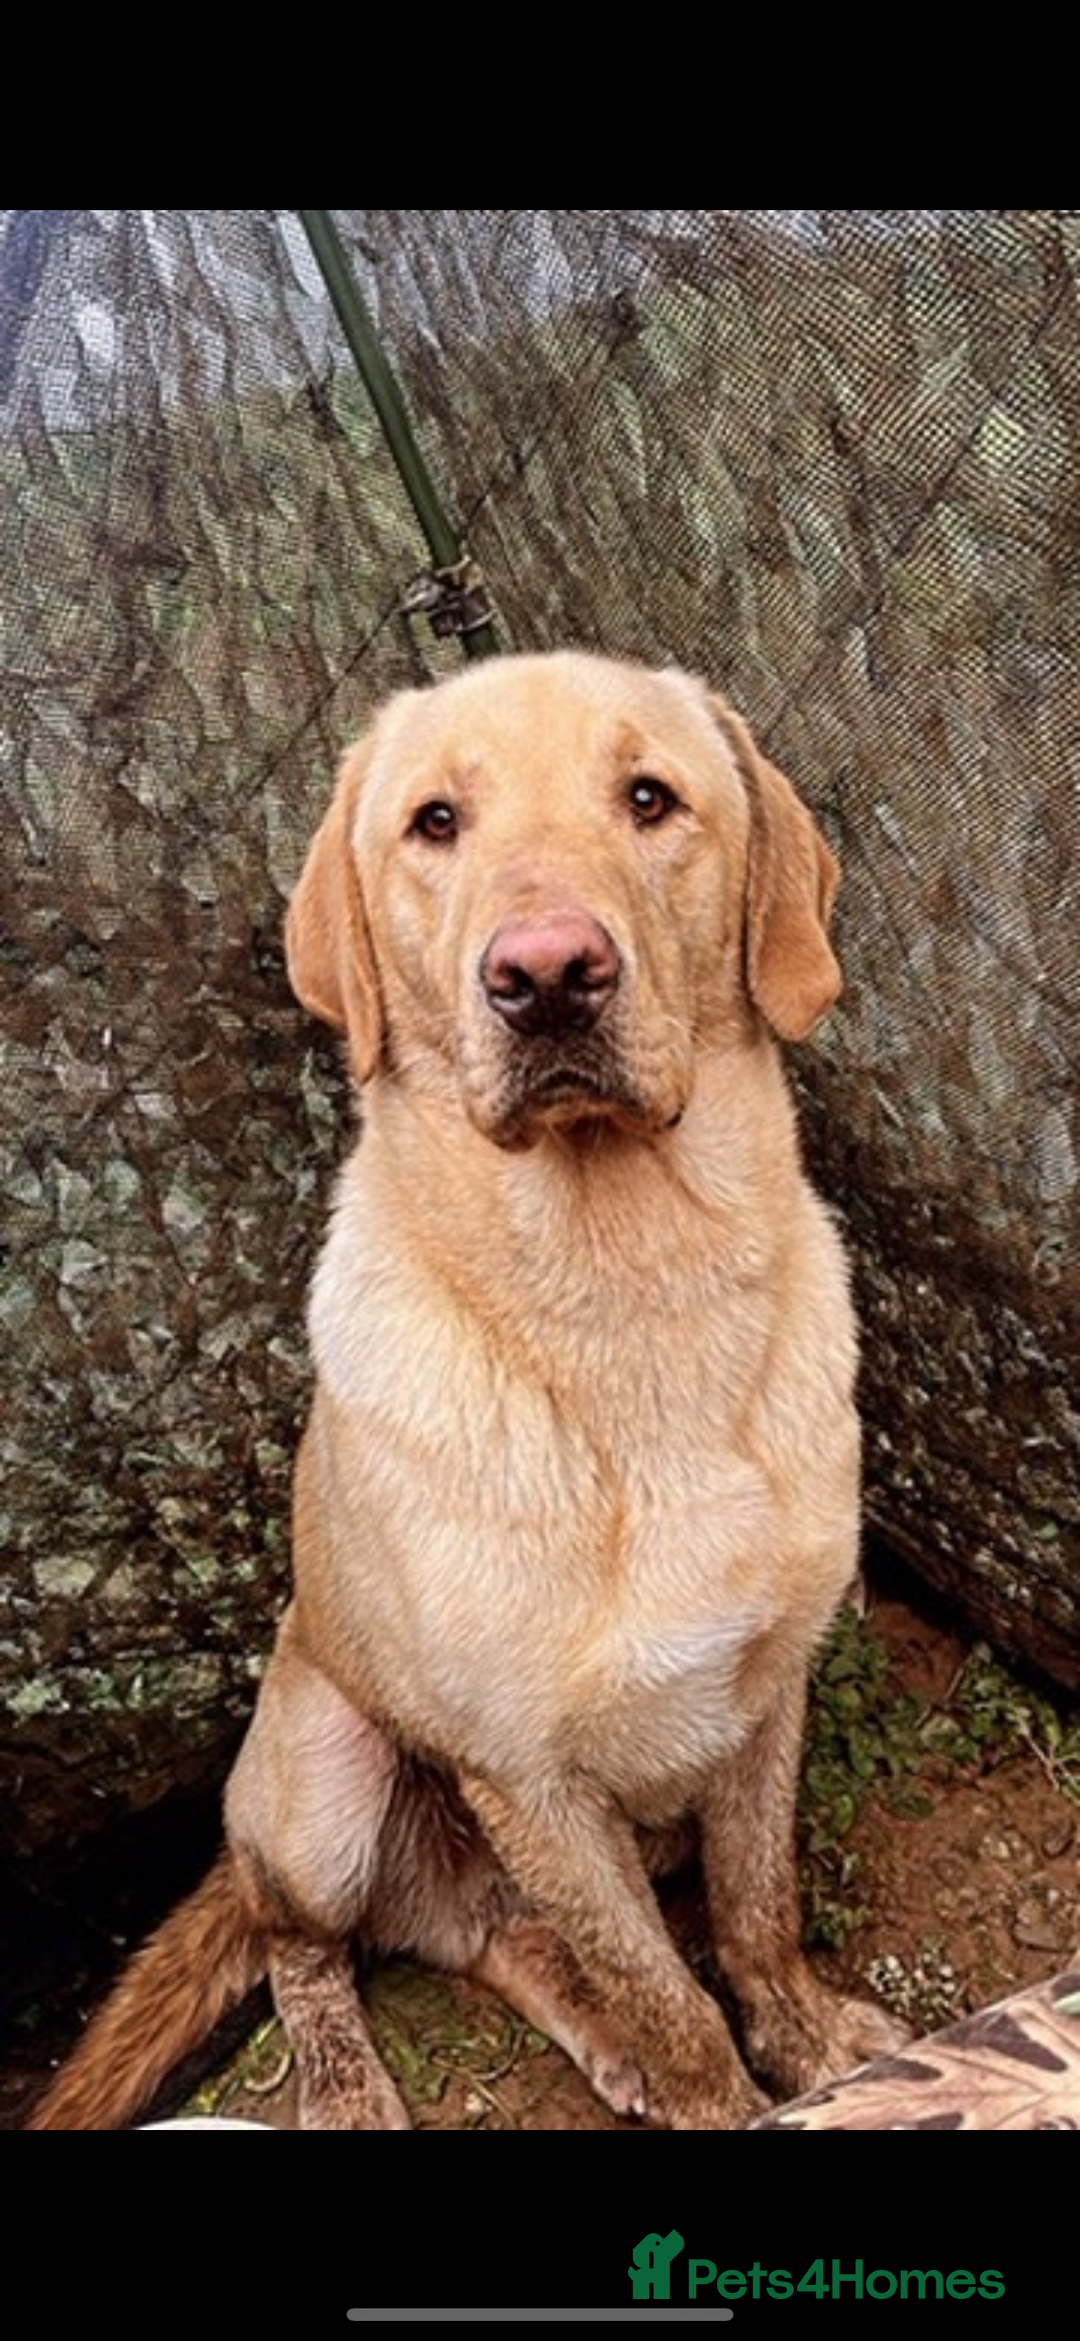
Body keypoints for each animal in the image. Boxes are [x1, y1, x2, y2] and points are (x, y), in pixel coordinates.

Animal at [31, 649, 902, 2130]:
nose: (547, 973)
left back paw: (590, 2040)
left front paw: (812, 2042)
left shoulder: (764, 1687)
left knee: (502, 1938)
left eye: (650, 797)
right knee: (307, 1945)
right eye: (434, 823)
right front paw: (726, 2099)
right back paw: (346, 2083)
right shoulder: (528, 1775)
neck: (625, 1298)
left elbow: (754, 1908)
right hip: (323, 1788)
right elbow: (670, 1996)